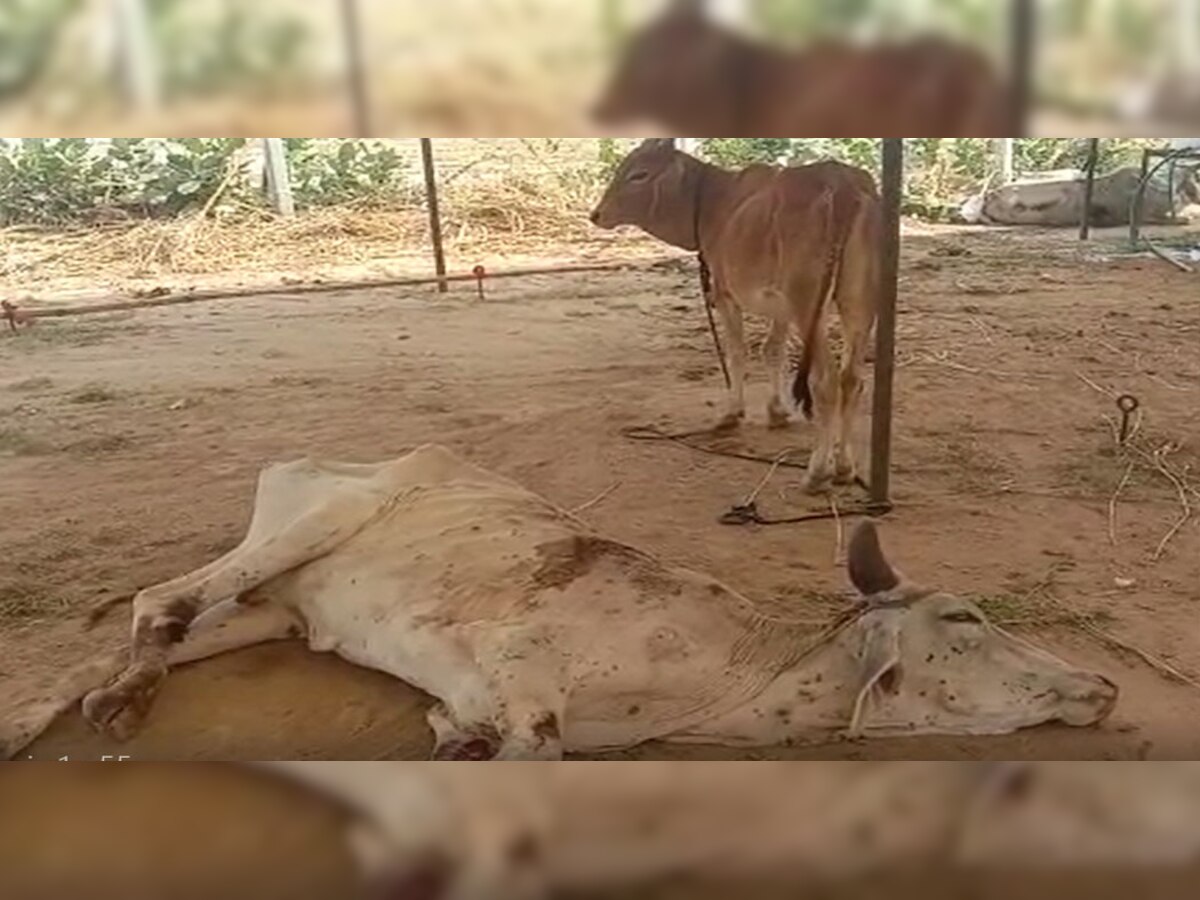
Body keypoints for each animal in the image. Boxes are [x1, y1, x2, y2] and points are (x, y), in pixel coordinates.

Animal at [7, 444, 1113, 763]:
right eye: (964, 620)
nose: (1101, 686)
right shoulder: (528, 682)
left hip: (278, 609)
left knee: (136, 637)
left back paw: (61, 713)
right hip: (313, 522)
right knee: (157, 600)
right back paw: (107, 709)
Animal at [592, 138, 883, 496]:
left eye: (639, 174)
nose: (596, 214)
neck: (714, 202)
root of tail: (842, 184)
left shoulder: (725, 295)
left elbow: (737, 353)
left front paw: (732, 413)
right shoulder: (781, 306)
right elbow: (772, 350)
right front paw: (777, 411)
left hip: (808, 304)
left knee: (826, 382)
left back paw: (816, 473)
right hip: (859, 303)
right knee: (851, 380)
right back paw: (843, 468)